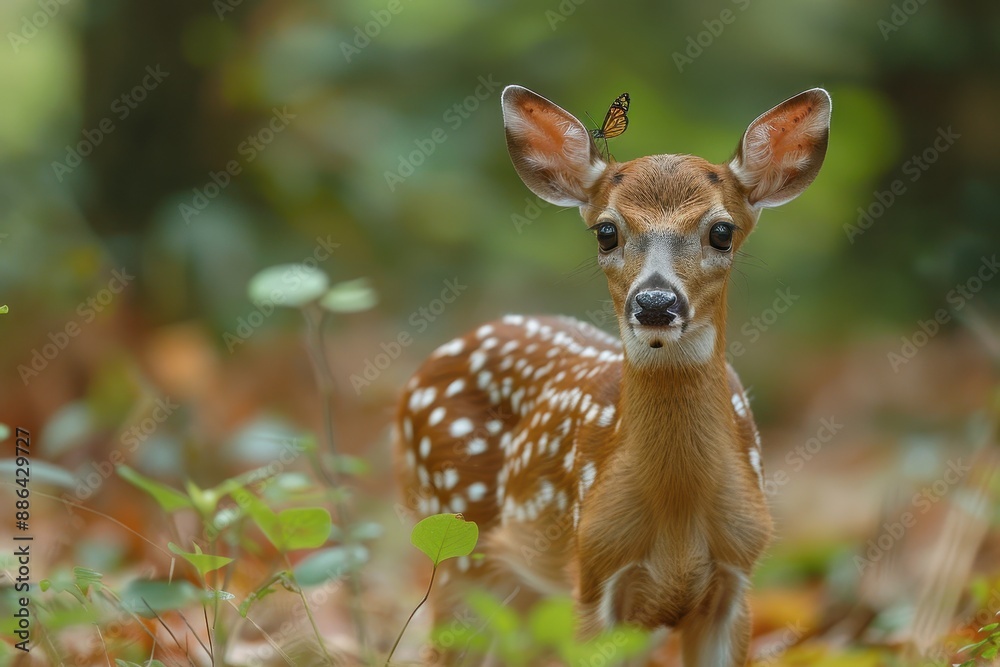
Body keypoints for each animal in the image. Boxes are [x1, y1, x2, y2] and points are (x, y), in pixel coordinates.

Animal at [394, 86, 832, 664]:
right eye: (606, 231)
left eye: (722, 231)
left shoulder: (737, 575)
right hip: (457, 539)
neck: (678, 514)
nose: (655, 303)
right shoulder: (594, 572)